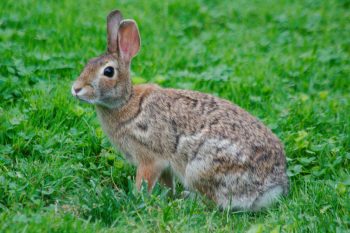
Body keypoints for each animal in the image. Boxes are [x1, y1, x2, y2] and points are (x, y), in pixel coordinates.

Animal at [70, 9, 288, 211]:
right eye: (88, 63)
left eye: (108, 71)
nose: (76, 89)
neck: (126, 102)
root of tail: (271, 187)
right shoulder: (165, 167)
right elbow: (167, 184)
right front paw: (166, 196)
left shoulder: (149, 158)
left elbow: (144, 181)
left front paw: (137, 198)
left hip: (200, 169)